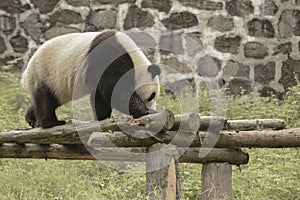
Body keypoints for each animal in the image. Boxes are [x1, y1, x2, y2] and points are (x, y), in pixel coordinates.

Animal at [22, 31, 161, 128]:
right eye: (152, 96)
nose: (153, 106)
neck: (134, 58)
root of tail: (25, 74)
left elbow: (100, 96)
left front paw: (103, 117)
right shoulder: (108, 56)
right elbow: (117, 91)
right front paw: (148, 111)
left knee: (49, 101)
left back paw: (31, 119)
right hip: (45, 74)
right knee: (45, 101)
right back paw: (51, 123)